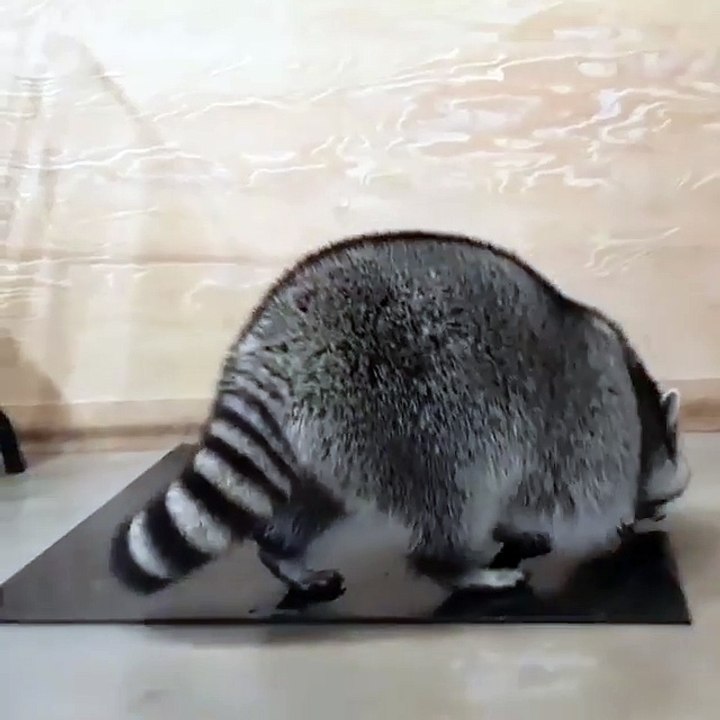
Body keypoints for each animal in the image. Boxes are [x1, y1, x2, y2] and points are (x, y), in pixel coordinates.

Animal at [110, 231, 690, 599]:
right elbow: (581, 494)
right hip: (407, 405)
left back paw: (284, 553)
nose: (657, 517)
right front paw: (615, 526)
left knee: (314, 502)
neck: (643, 412)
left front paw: (514, 525)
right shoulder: (593, 428)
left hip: (327, 435)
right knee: (458, 487)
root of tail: (275, 338)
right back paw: (455, 567)